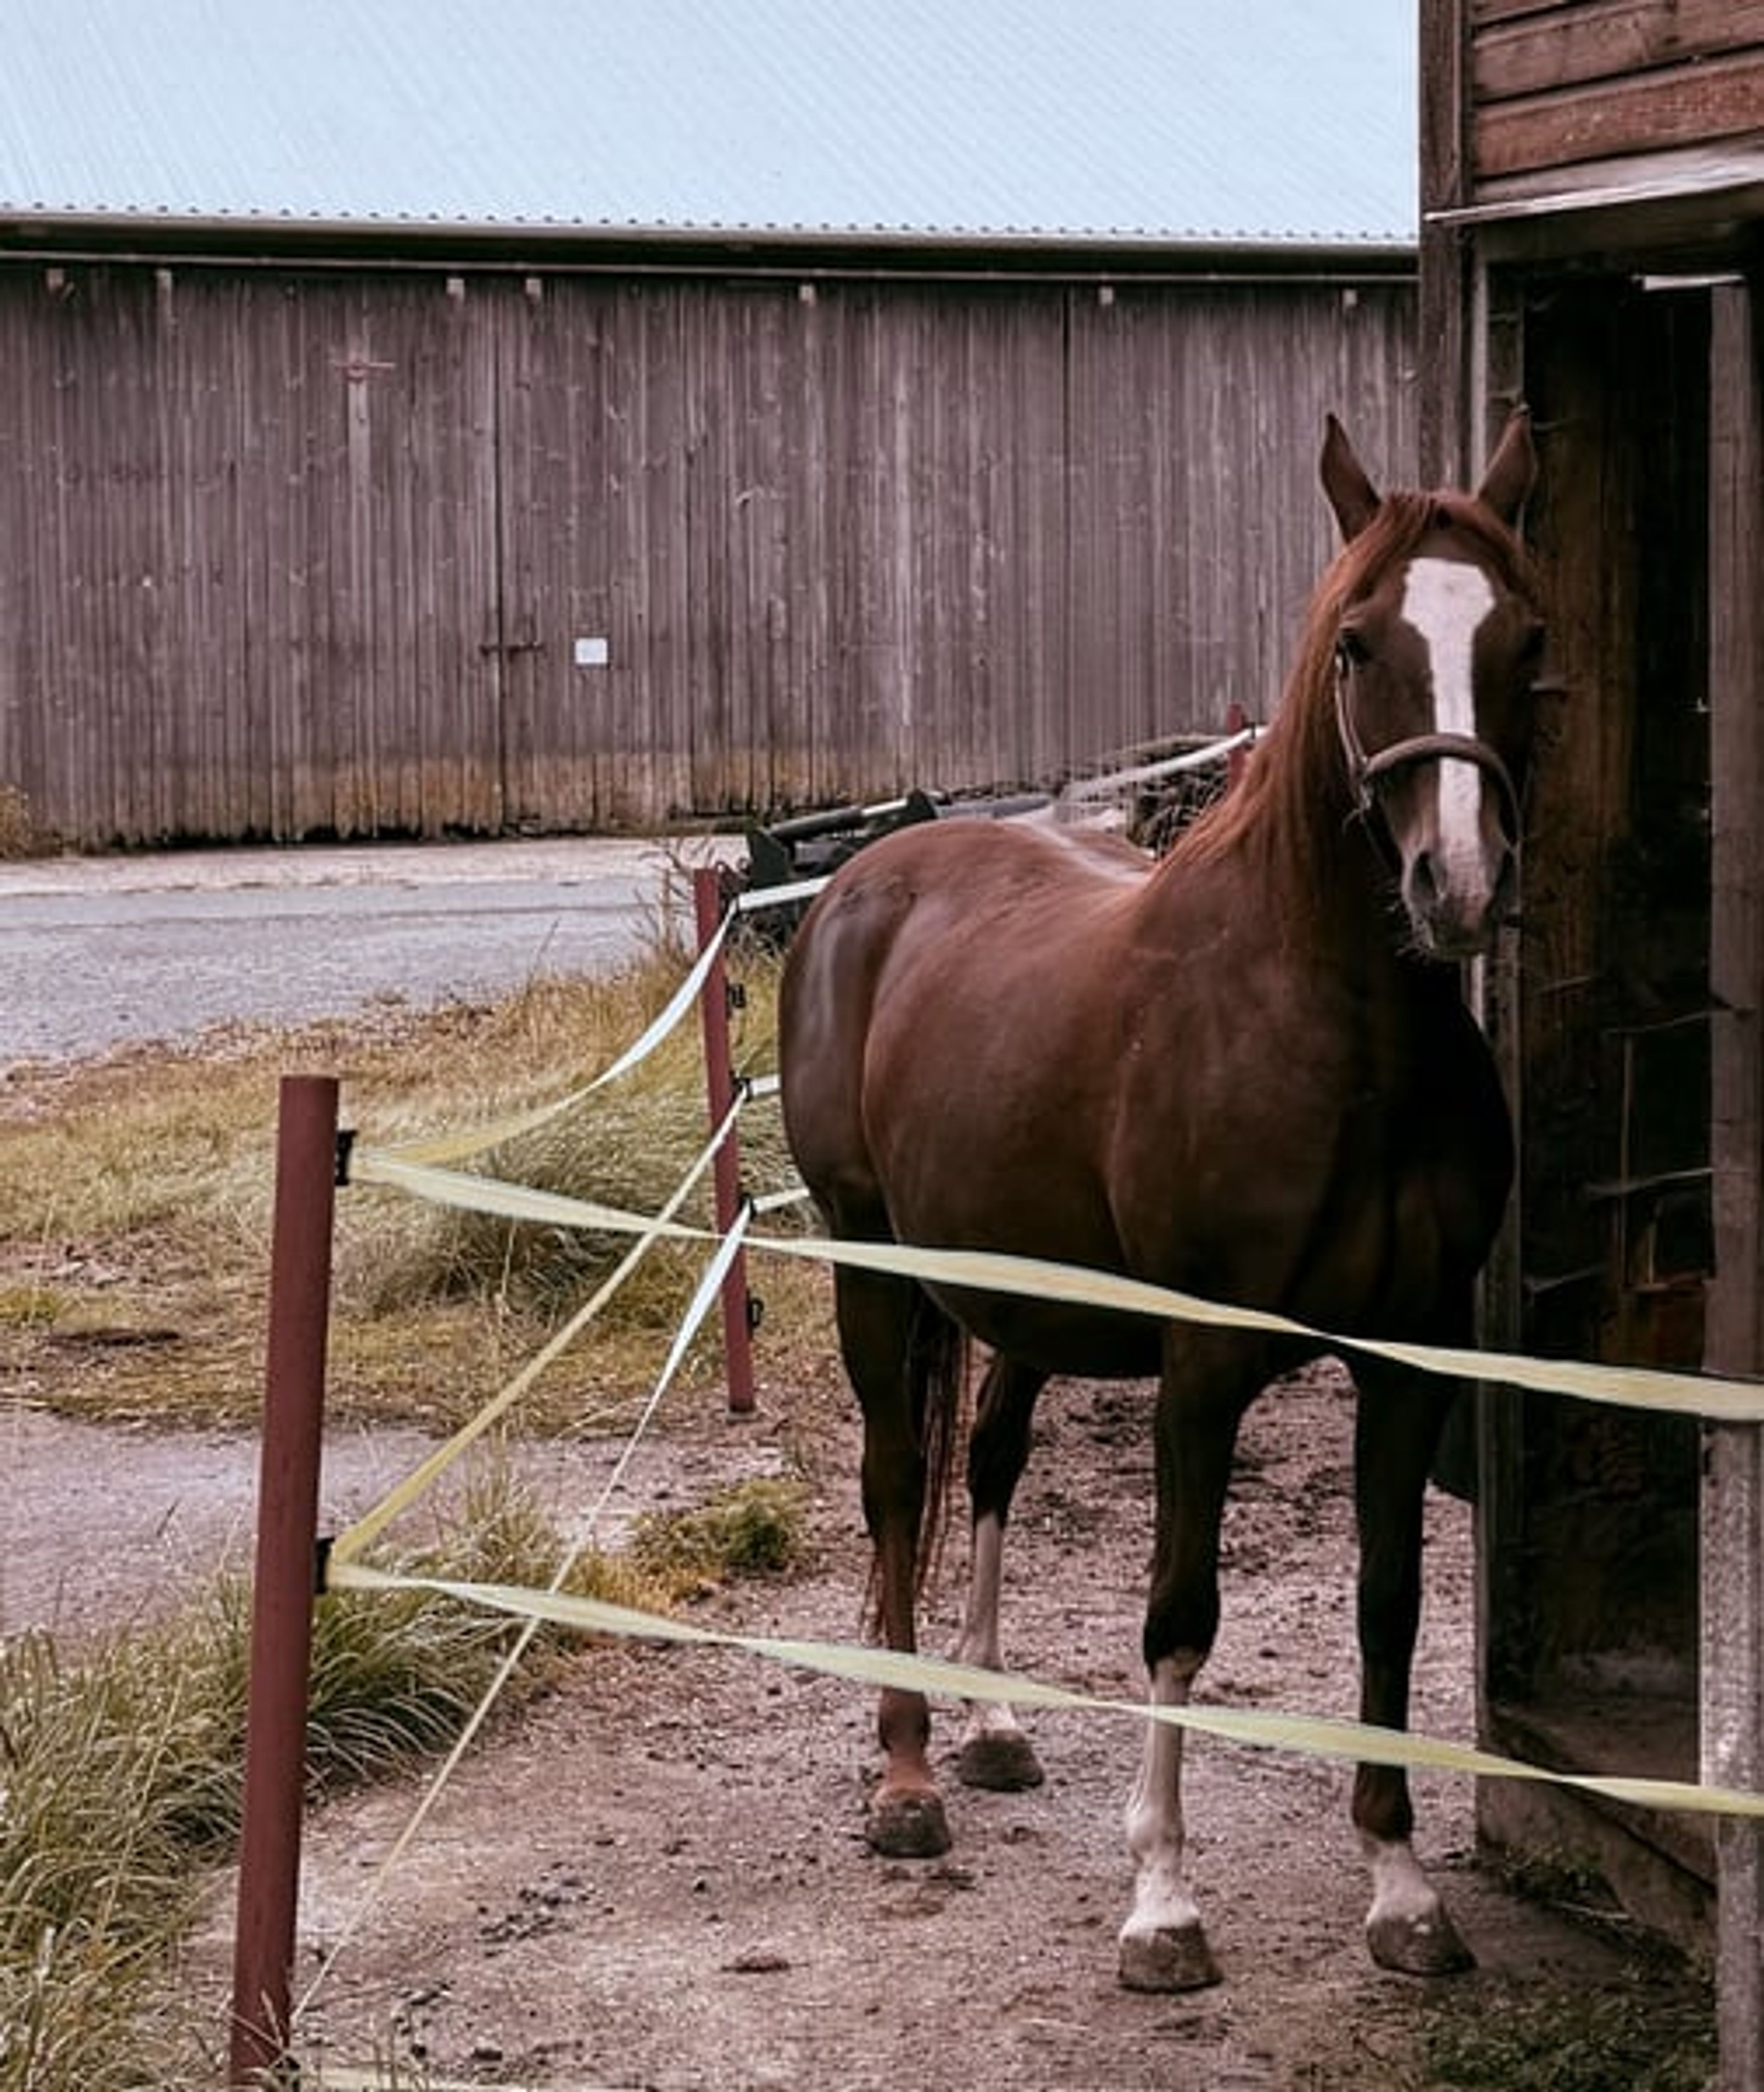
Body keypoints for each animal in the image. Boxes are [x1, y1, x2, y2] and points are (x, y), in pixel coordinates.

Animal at [777, 411, 1544, 1992]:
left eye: (1528, 639)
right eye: (1357, 642)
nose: (1452, 883)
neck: (1332, 1032)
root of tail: (864, 880)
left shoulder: (1412, 1357)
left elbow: (1389, 1599)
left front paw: (1399, 1885)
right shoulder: (1199, 1368)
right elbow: (1179, 1615)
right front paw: (1162, 1904)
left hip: (1014, 1295)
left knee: (987, 1464)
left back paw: (993, 1724)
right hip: (867, 1261)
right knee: (895, 1484)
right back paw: (906, 1773)